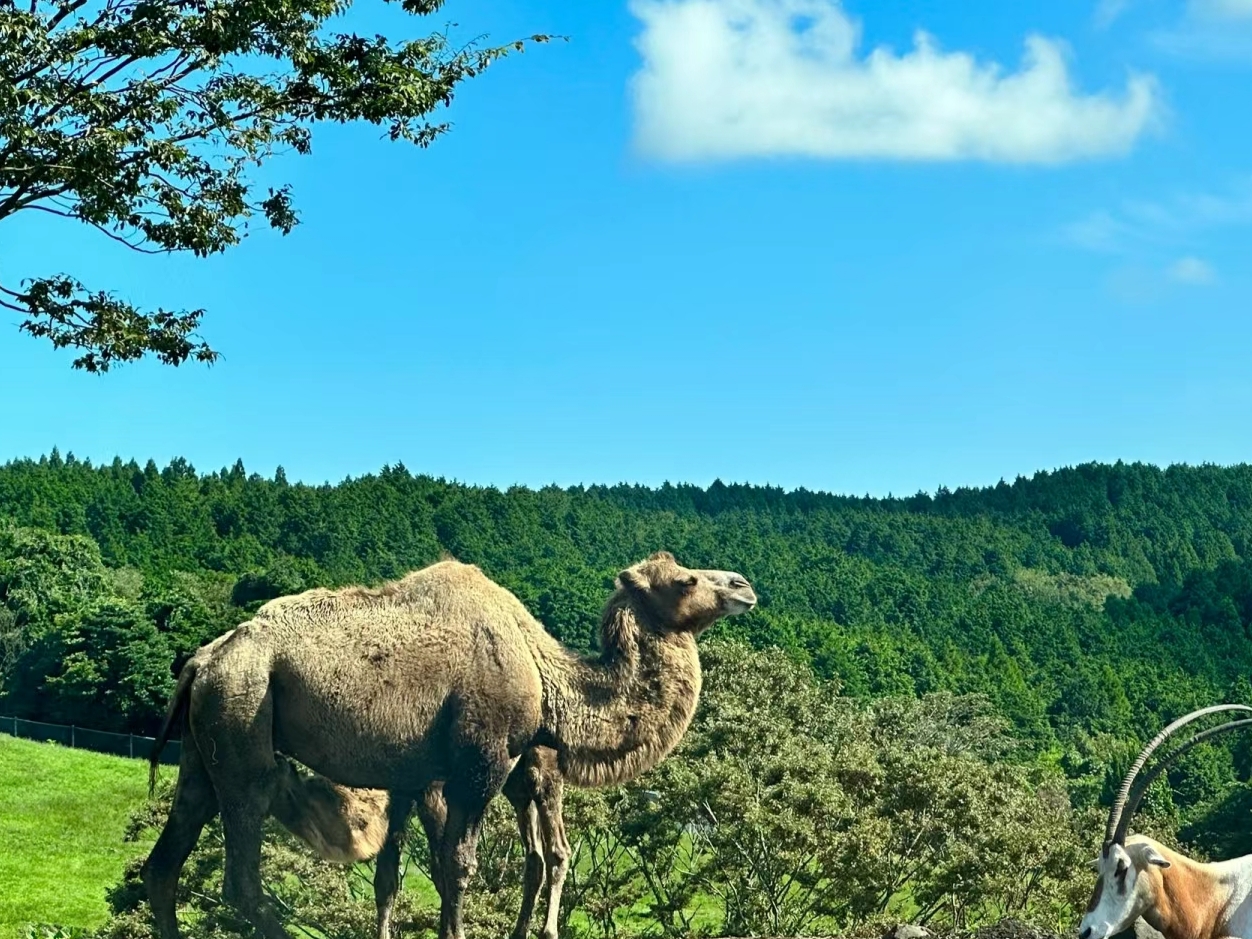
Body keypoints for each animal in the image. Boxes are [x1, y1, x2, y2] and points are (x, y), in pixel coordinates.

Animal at [142, 550, 756, 939]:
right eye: (685, 581)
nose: (744, 585)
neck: (545, 675)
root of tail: (202, 661)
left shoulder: (427, 774)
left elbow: (417, 870)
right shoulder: (481, 762)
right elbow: (458, 866)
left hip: (206, 742)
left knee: (165, 860)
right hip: (243, 720)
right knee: (241, 876)